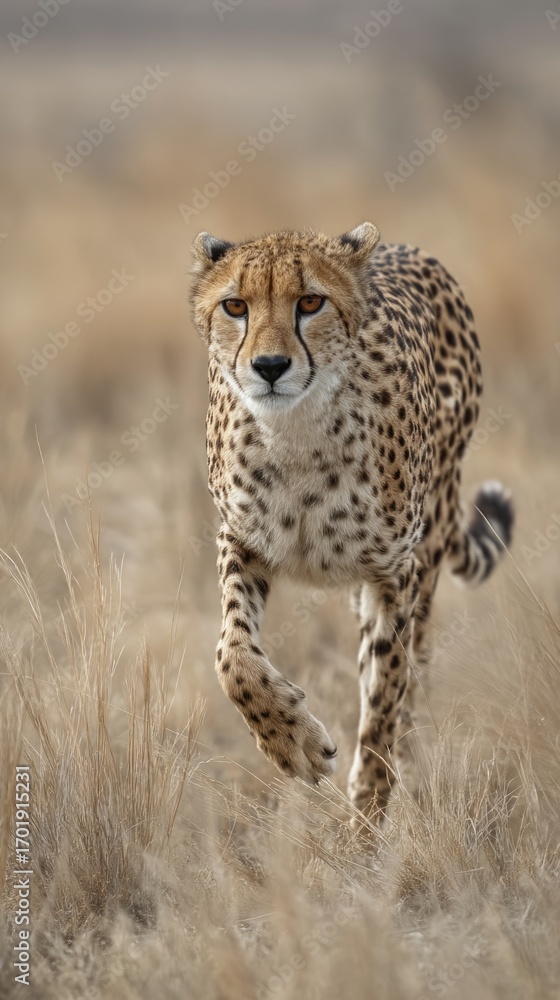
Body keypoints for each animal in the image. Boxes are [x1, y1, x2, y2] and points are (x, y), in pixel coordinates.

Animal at [190, 222, 513, 823]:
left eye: (310, 302)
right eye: (235, 306)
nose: (270, 367)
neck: (295, 431)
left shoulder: (396, 573)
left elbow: (386, 695)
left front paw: (367, 811)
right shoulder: (241, 540)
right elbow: (232, 656)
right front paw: (290, 740)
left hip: (429, 544)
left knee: (412, 674)